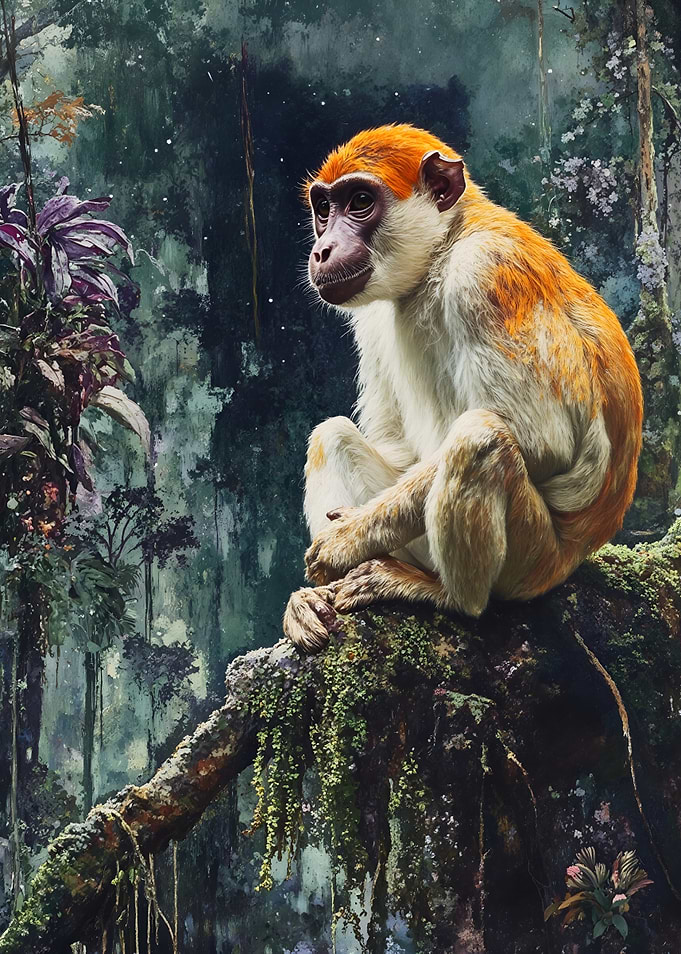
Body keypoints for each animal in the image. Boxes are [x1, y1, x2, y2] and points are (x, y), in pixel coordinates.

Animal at [283, 123, 642, 653]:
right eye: (323, 208)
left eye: (360, 202)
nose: (322, 249)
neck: (445, 246)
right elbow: (394, 443)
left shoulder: (484, 273)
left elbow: (544, 445)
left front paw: (348, 540)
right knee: (331, 436)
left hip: (532, 561)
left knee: (481, 440)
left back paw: (453, 599)